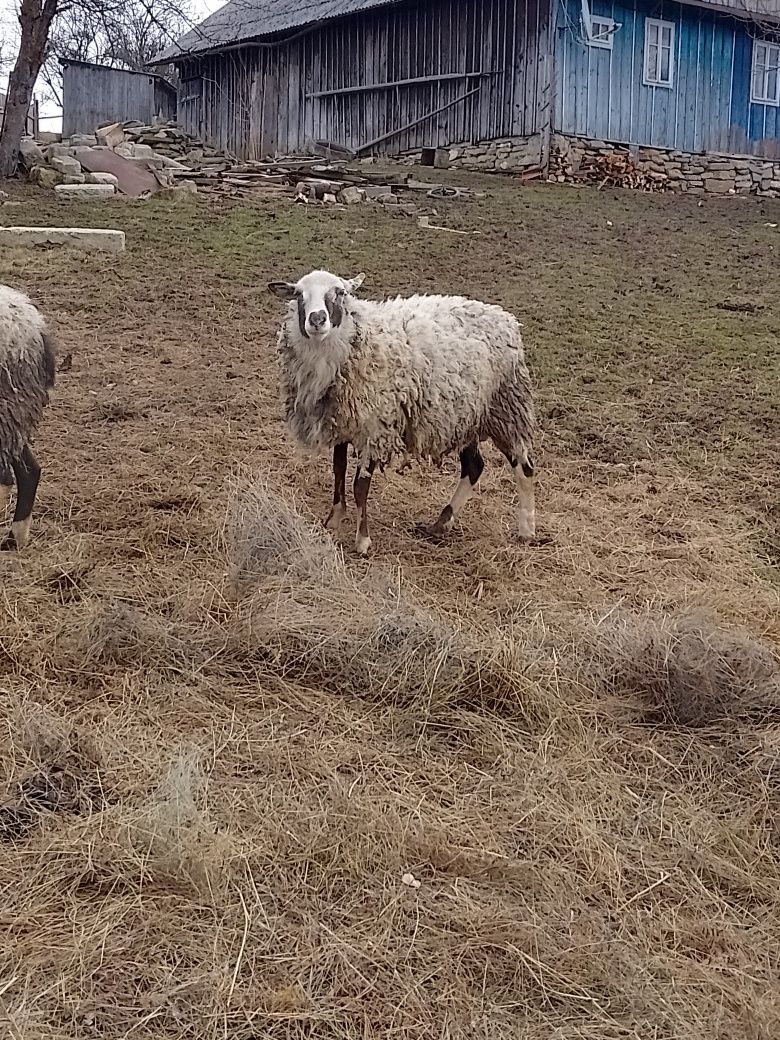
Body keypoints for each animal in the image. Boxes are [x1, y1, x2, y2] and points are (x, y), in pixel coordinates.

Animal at [268, 272, 536, 557]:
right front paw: (333, 520)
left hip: (506, 407)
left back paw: (526, 529)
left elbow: (359, 487)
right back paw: (441, 523)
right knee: (474, 467)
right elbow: (338, 472)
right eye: (298, 294)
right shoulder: (343, 423)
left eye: (340, 292)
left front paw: (362, 540)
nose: (317, 320)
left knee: (524, 466)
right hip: (465, 416)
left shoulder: (375, 428)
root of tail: (505, 318)